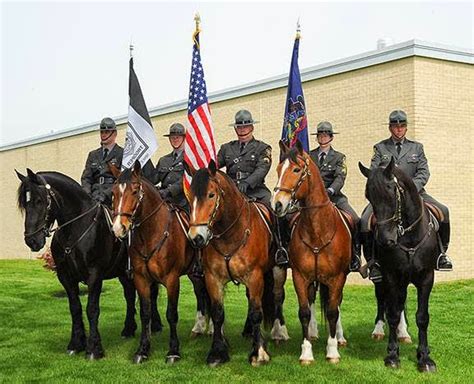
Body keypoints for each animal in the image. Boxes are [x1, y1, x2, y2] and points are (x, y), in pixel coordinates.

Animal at [16, 170, 163, 358]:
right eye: (25, 203)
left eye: (39, 200)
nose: (32, 240)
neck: (75, 229)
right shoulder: (66, 277)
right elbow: (75, 308)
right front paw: (75, 344)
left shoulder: (94, 275)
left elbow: (92, 309)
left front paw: (93, 348)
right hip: (123, 273)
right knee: (129, 295)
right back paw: (128, 329)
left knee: (151, 295)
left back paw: (155, 326)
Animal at [111, 161, 209, 364]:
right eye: (113, 193)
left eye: (135, 191)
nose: (118, 228)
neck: (151, 234)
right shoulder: (141, 279)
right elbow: (145, 313)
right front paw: (142, 350)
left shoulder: (172, 280)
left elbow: (171, 314)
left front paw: (173, 351)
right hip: (194, 273)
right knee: (200, 293)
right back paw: (199, 328)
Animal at [187, 159, 286, 366]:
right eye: (190, 197)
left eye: (211, 194)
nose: (196, 238)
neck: (231, 235)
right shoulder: (213, 278)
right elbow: (217, 313)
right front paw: (217, 352)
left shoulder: (255, 276)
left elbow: (257, 313)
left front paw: (259, 352)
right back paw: (248, 331)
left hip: (277, 270)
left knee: (277, 297)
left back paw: (279, 333)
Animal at [270, 142, 352, 366]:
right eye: (278, 170)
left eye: (296, 170)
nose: (277, 204)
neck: (318, 231)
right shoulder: (300, 277)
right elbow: (304, 312)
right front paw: (306, 353)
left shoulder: (336, 278)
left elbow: (332, 312)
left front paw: (332, 351)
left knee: (336, 305)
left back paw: (339, 337)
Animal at [360, 159, 440, 372]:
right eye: (368, 195)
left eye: (391, 191)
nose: (385, 240)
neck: (410, 236)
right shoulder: (391, 276)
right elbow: (393, 314)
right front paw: (392, 355)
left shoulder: (427, 277)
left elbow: (422, 317)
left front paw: (425, 358)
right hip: (383, 278)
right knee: (383, 300)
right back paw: (379, 330)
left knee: (401, 303)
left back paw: (403, 333)